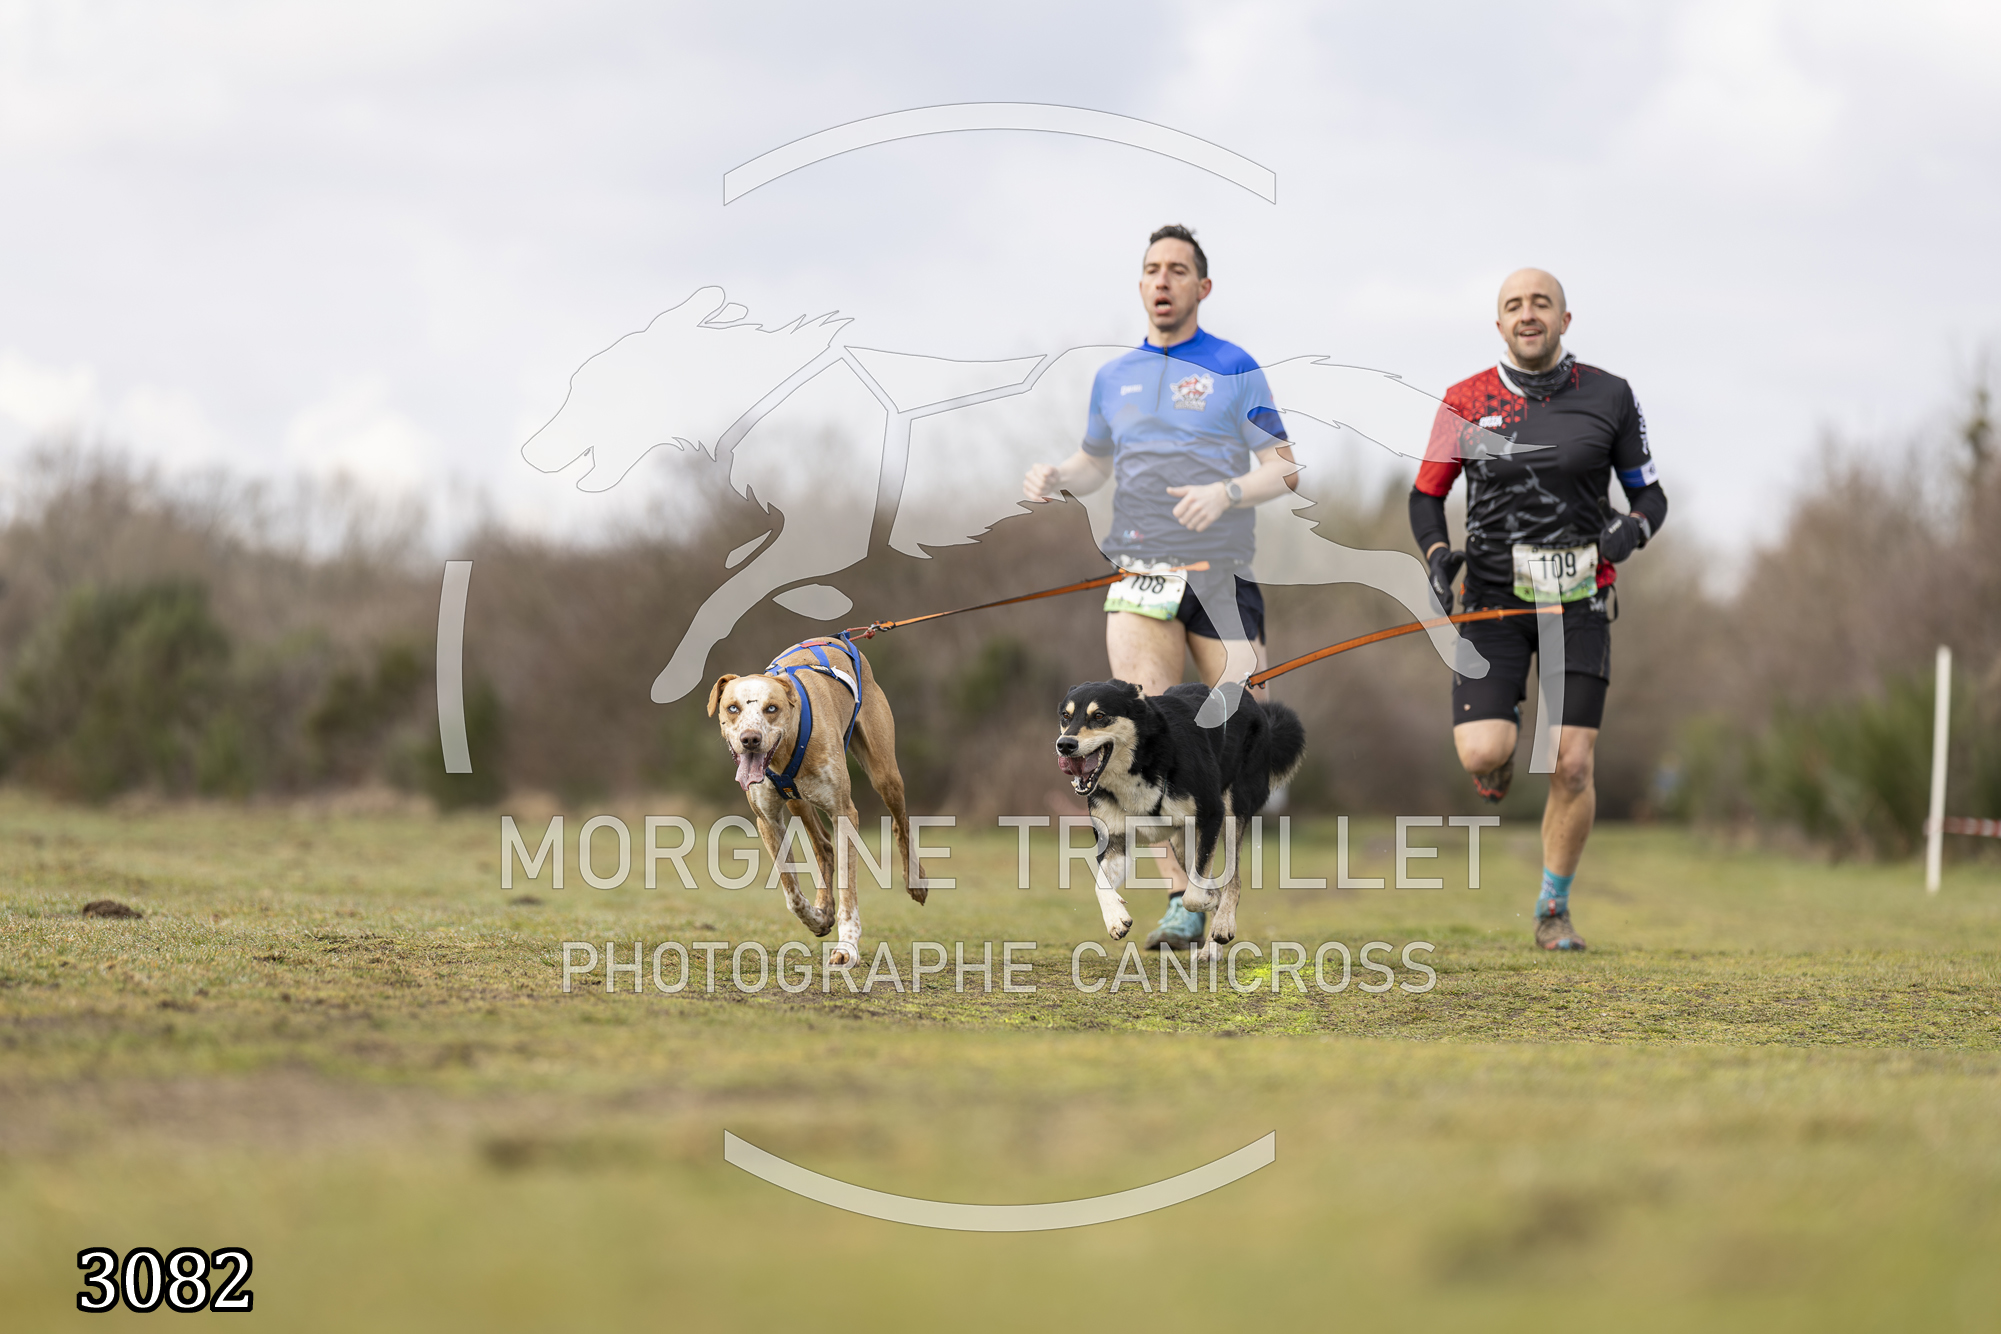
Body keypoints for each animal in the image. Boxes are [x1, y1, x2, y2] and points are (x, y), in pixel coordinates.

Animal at [707, 637, 929, 965]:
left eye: (771, 708)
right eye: (732, 708)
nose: (750, 739)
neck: (786, 751)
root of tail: (840, 637)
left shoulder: (843, 812)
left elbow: (848, 886)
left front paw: (847, 946)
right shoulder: (768, 821)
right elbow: (791, 892)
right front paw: (818, 917)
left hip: (885, 774)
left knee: (901, 824)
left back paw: (916, 882)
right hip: (798, 801)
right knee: (823, 845)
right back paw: (823, 905)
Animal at [1055, 680, 1306, 960]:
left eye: (1099, 716)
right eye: (1065, 716)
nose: (1064, 744)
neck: (1141, 762)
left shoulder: (1211, 814)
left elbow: (1194, 895)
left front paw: (1210, 903)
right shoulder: (1115, 842)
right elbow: (1100, 885)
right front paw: (1116, 918)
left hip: (1231, 814)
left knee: (1233, 880)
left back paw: (1222, 926)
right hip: (1183, 844)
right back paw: (1211, 946)